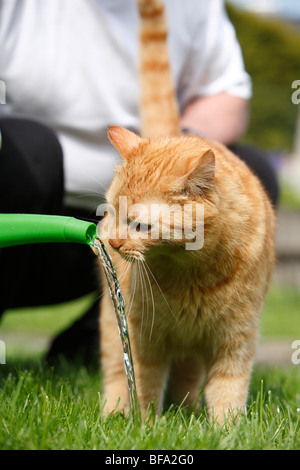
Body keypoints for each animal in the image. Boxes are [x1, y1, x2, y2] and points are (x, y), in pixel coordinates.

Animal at [98, 0, 274, 422]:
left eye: (139, 223)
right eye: (111, 211)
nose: (113, 244)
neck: (192, 271)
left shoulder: (236, 339)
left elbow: (227, 390)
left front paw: (225, 429)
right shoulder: (144, 337)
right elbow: (143, 384)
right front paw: (144, 425)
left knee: (189, 376)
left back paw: (187, 410)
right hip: (113, 322)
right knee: (114, 369)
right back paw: (112, 413)